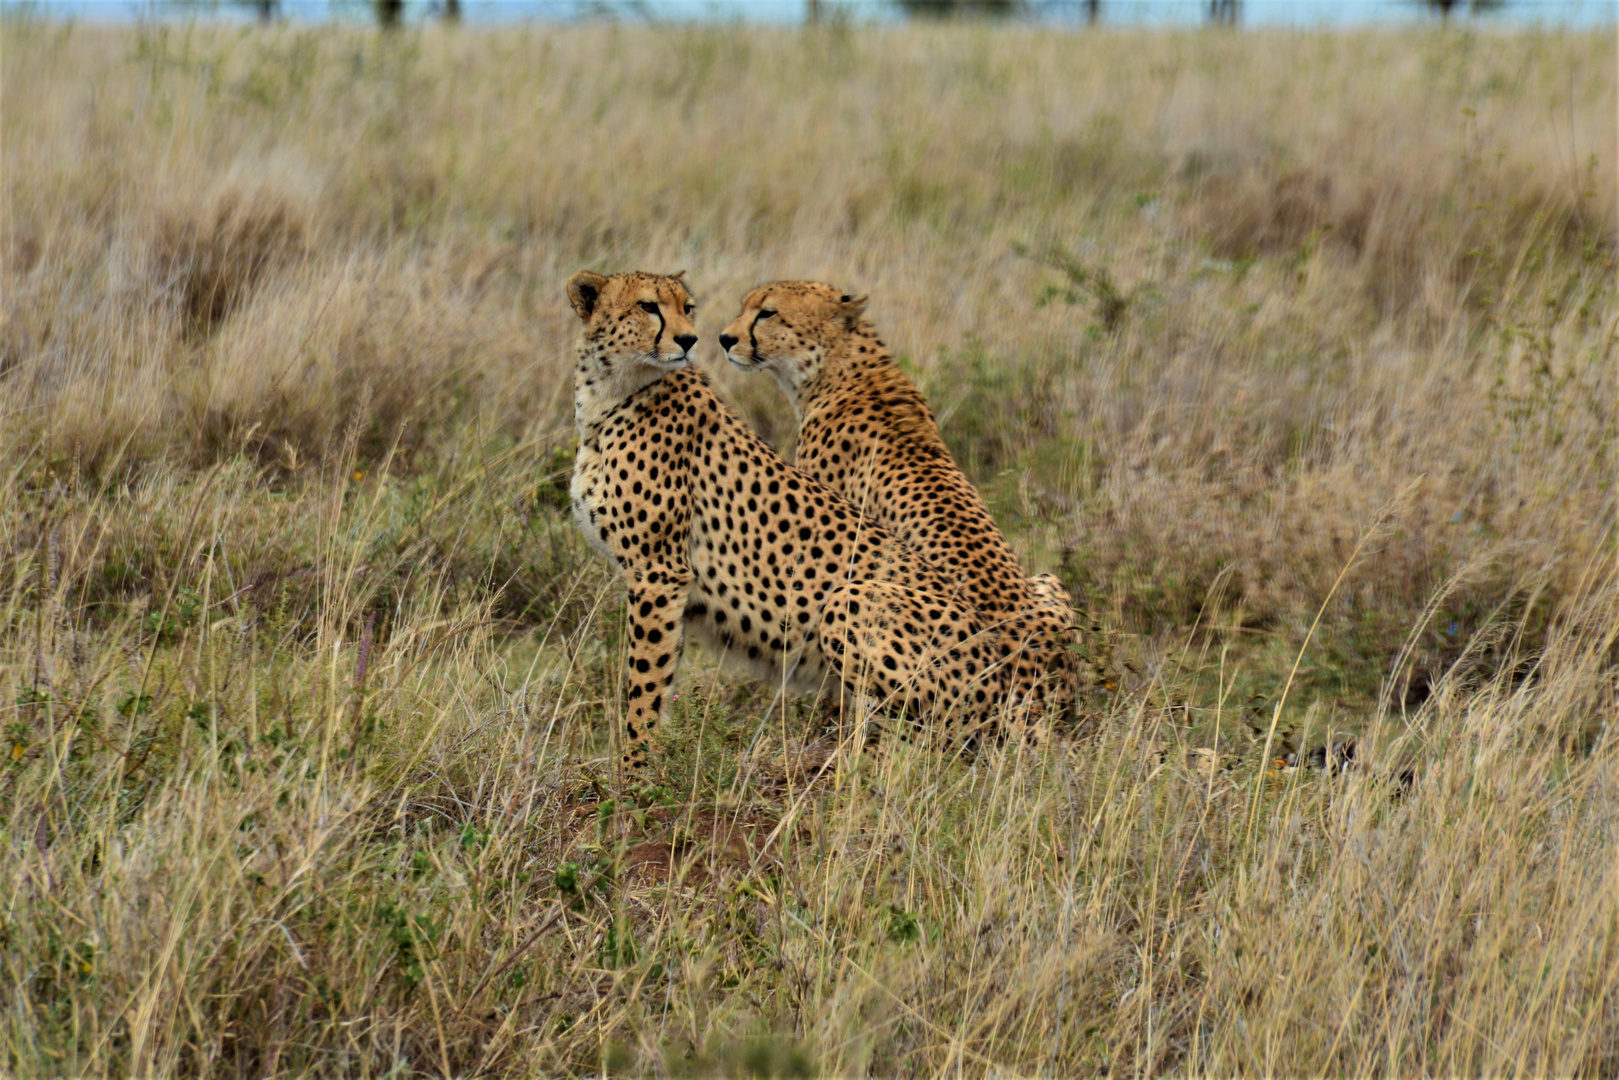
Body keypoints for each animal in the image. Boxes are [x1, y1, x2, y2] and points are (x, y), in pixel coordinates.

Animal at [563, 275, 1029, 773]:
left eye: (687, 308)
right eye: (648, 306)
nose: (691, 340)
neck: (610, 393)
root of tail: (1008, 681)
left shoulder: (659, 572)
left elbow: (644, 682)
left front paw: (634, 768)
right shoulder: (664, 581)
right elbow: (661, 673)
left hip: (849, 600)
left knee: (914, 745)